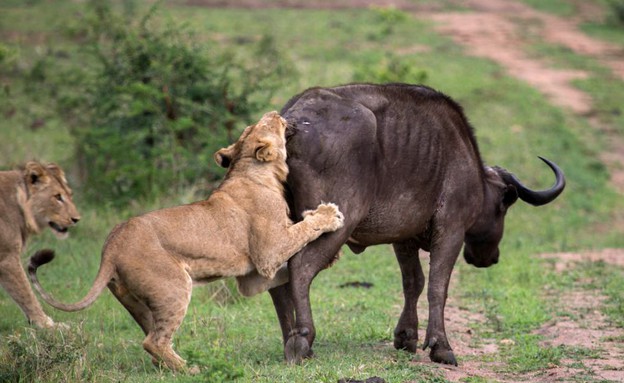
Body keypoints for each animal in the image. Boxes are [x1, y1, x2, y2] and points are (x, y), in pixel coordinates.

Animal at [0, 160, 80, 328]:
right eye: (57, 197)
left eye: (70, 195)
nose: (76, 219)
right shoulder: (7, 258)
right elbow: (26, 293)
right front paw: (47, 324)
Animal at [28, 111, 346, 372]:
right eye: (267, 125)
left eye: (250, 127)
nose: (275, 112)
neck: (250, 169)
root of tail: (110, 246)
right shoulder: (268, 254)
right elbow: (302, 230)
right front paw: (328, 214)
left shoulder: (253, 277)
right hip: (173, 287)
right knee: (153, 342)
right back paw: (192, 369)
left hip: (139, 301)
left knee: (152, 339)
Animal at [264, 83, 564, 366]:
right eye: (504, 207)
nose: (490, 258)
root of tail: (293, 123)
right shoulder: (451, 231)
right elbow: (437, 286)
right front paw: (440, 346)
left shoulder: (403, 238)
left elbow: (413, 282)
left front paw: (406, 336)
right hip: (334, 223)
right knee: (301, 268)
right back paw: (302, 339)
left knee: (278, 277)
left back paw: (288, 338)